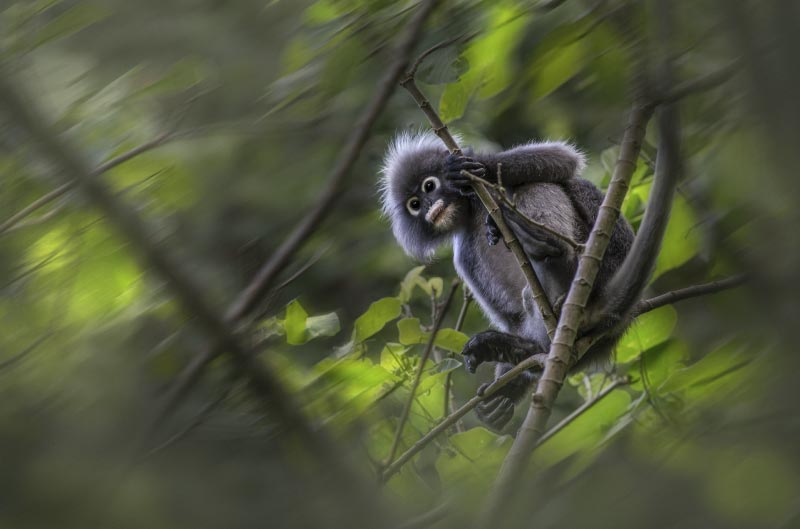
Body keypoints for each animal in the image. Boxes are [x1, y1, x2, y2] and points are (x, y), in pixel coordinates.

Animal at [379, 131, 640, 431]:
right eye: (414, 205)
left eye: (429, 186)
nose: (429, 209)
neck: (473, 210)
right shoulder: (464, 253)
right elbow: (512, 317)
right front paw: (507, 388)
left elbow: (563, 159)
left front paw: (466, 169)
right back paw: (519, 350)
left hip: (605, 258)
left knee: (543, 184)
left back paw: (547, 247)